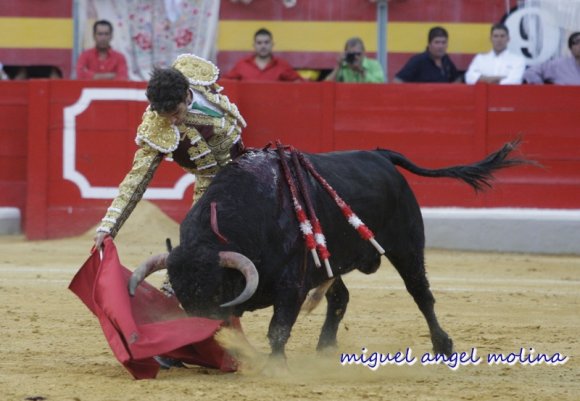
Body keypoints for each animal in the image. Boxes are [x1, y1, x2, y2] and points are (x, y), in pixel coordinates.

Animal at [129, 139, 528, 358]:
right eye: (182, 295)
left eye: (212, 291)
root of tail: (381, 156)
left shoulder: (291, 285)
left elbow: (278, 329)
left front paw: (275, 365)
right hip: (330, 262)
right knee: (341, 297)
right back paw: (324, 348)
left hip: (407, 246)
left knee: (421, 293)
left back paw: (443, 345)